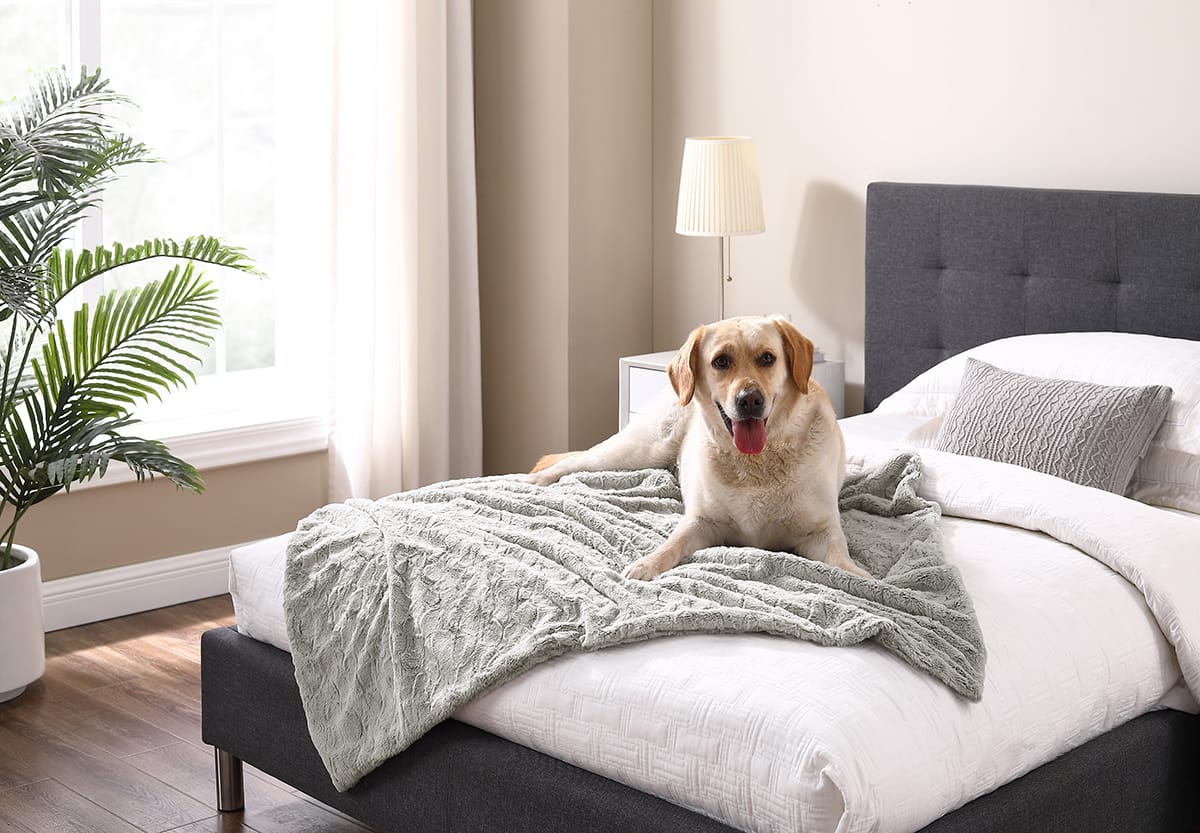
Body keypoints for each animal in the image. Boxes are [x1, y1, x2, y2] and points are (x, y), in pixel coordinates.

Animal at [530, 316, 868, 583]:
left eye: (767, 358)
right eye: (721, 361)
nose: (750, 400)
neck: (756, 463)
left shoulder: (822, 532)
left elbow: (842, 562)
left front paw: (865, 579)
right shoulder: (702, 523)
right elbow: (671, 544)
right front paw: (646, 564)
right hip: (636, 451)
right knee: (574, 461)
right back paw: (537, 479)